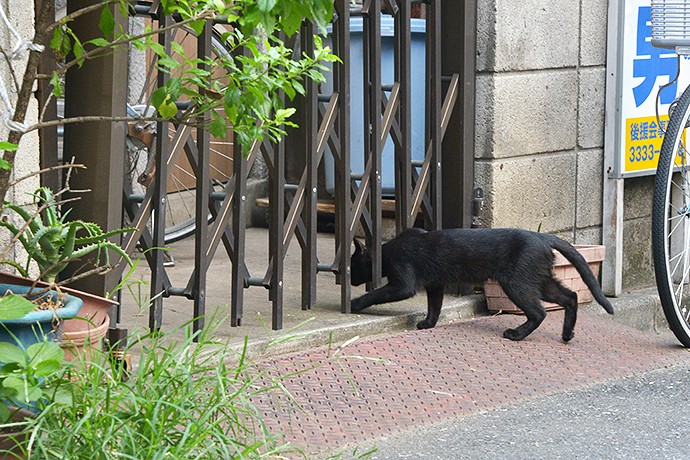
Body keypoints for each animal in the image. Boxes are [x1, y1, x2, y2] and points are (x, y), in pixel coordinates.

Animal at [350, 229, 612, 342]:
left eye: (352, 267)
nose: (349, 280)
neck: (386, 252)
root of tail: (543, 236)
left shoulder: (404, 283)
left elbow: (376, 294)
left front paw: (355, 303)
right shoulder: (436, 284)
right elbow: (434, 306)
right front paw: (428, 324)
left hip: (517, 283)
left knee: (539, 312)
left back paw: (516, 335)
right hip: (541, 280)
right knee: (570, 297)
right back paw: (567, 334)